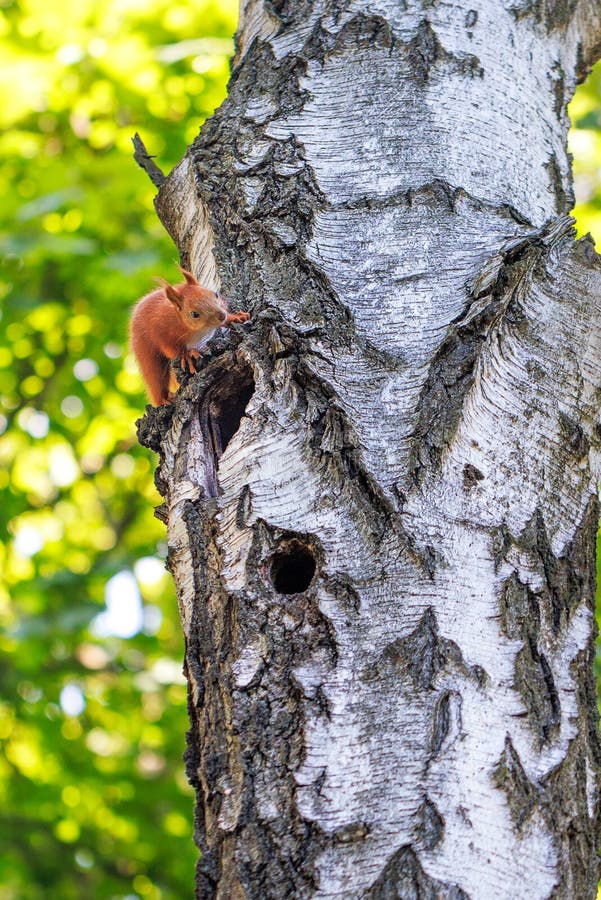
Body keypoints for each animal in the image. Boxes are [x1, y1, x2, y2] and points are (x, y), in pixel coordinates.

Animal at [129, 267, 250, 406]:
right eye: (194, 314)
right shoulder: (159, 330)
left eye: (215, 294)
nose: (221, 315)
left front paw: (236, 317)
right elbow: (170, 349)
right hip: (147, 355)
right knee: (155, 380)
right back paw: (164, 398)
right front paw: (186, 355)